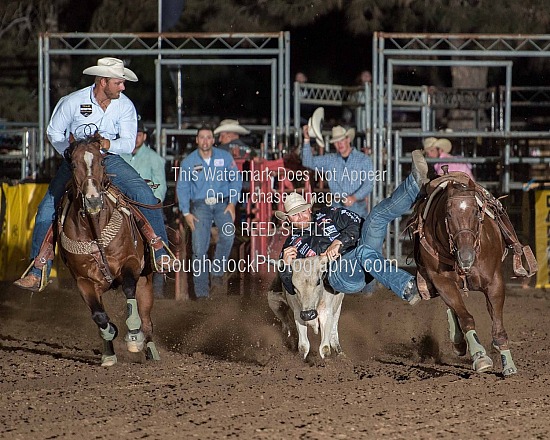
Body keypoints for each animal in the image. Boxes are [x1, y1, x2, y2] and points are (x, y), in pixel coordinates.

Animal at [57, 135, 160, 368]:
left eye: (102, 161)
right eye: (73, 164)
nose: (93, 200)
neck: (95, 232)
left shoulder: (130, 263)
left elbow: (129, 289)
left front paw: (134, 337)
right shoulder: (84, 281)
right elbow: (99, 316)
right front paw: (110, 346)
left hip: (146, 281)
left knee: (147, 320)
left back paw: (151, 352)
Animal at [416, 174, 520, 376]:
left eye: (476, 212)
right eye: (448, 214)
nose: (466, 256)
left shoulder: (494, 282)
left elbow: (498, 326)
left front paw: (508, 364)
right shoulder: (442, 281)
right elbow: (465, 318)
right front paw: (480, 356)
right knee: (455, 309)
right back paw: (459, 342)